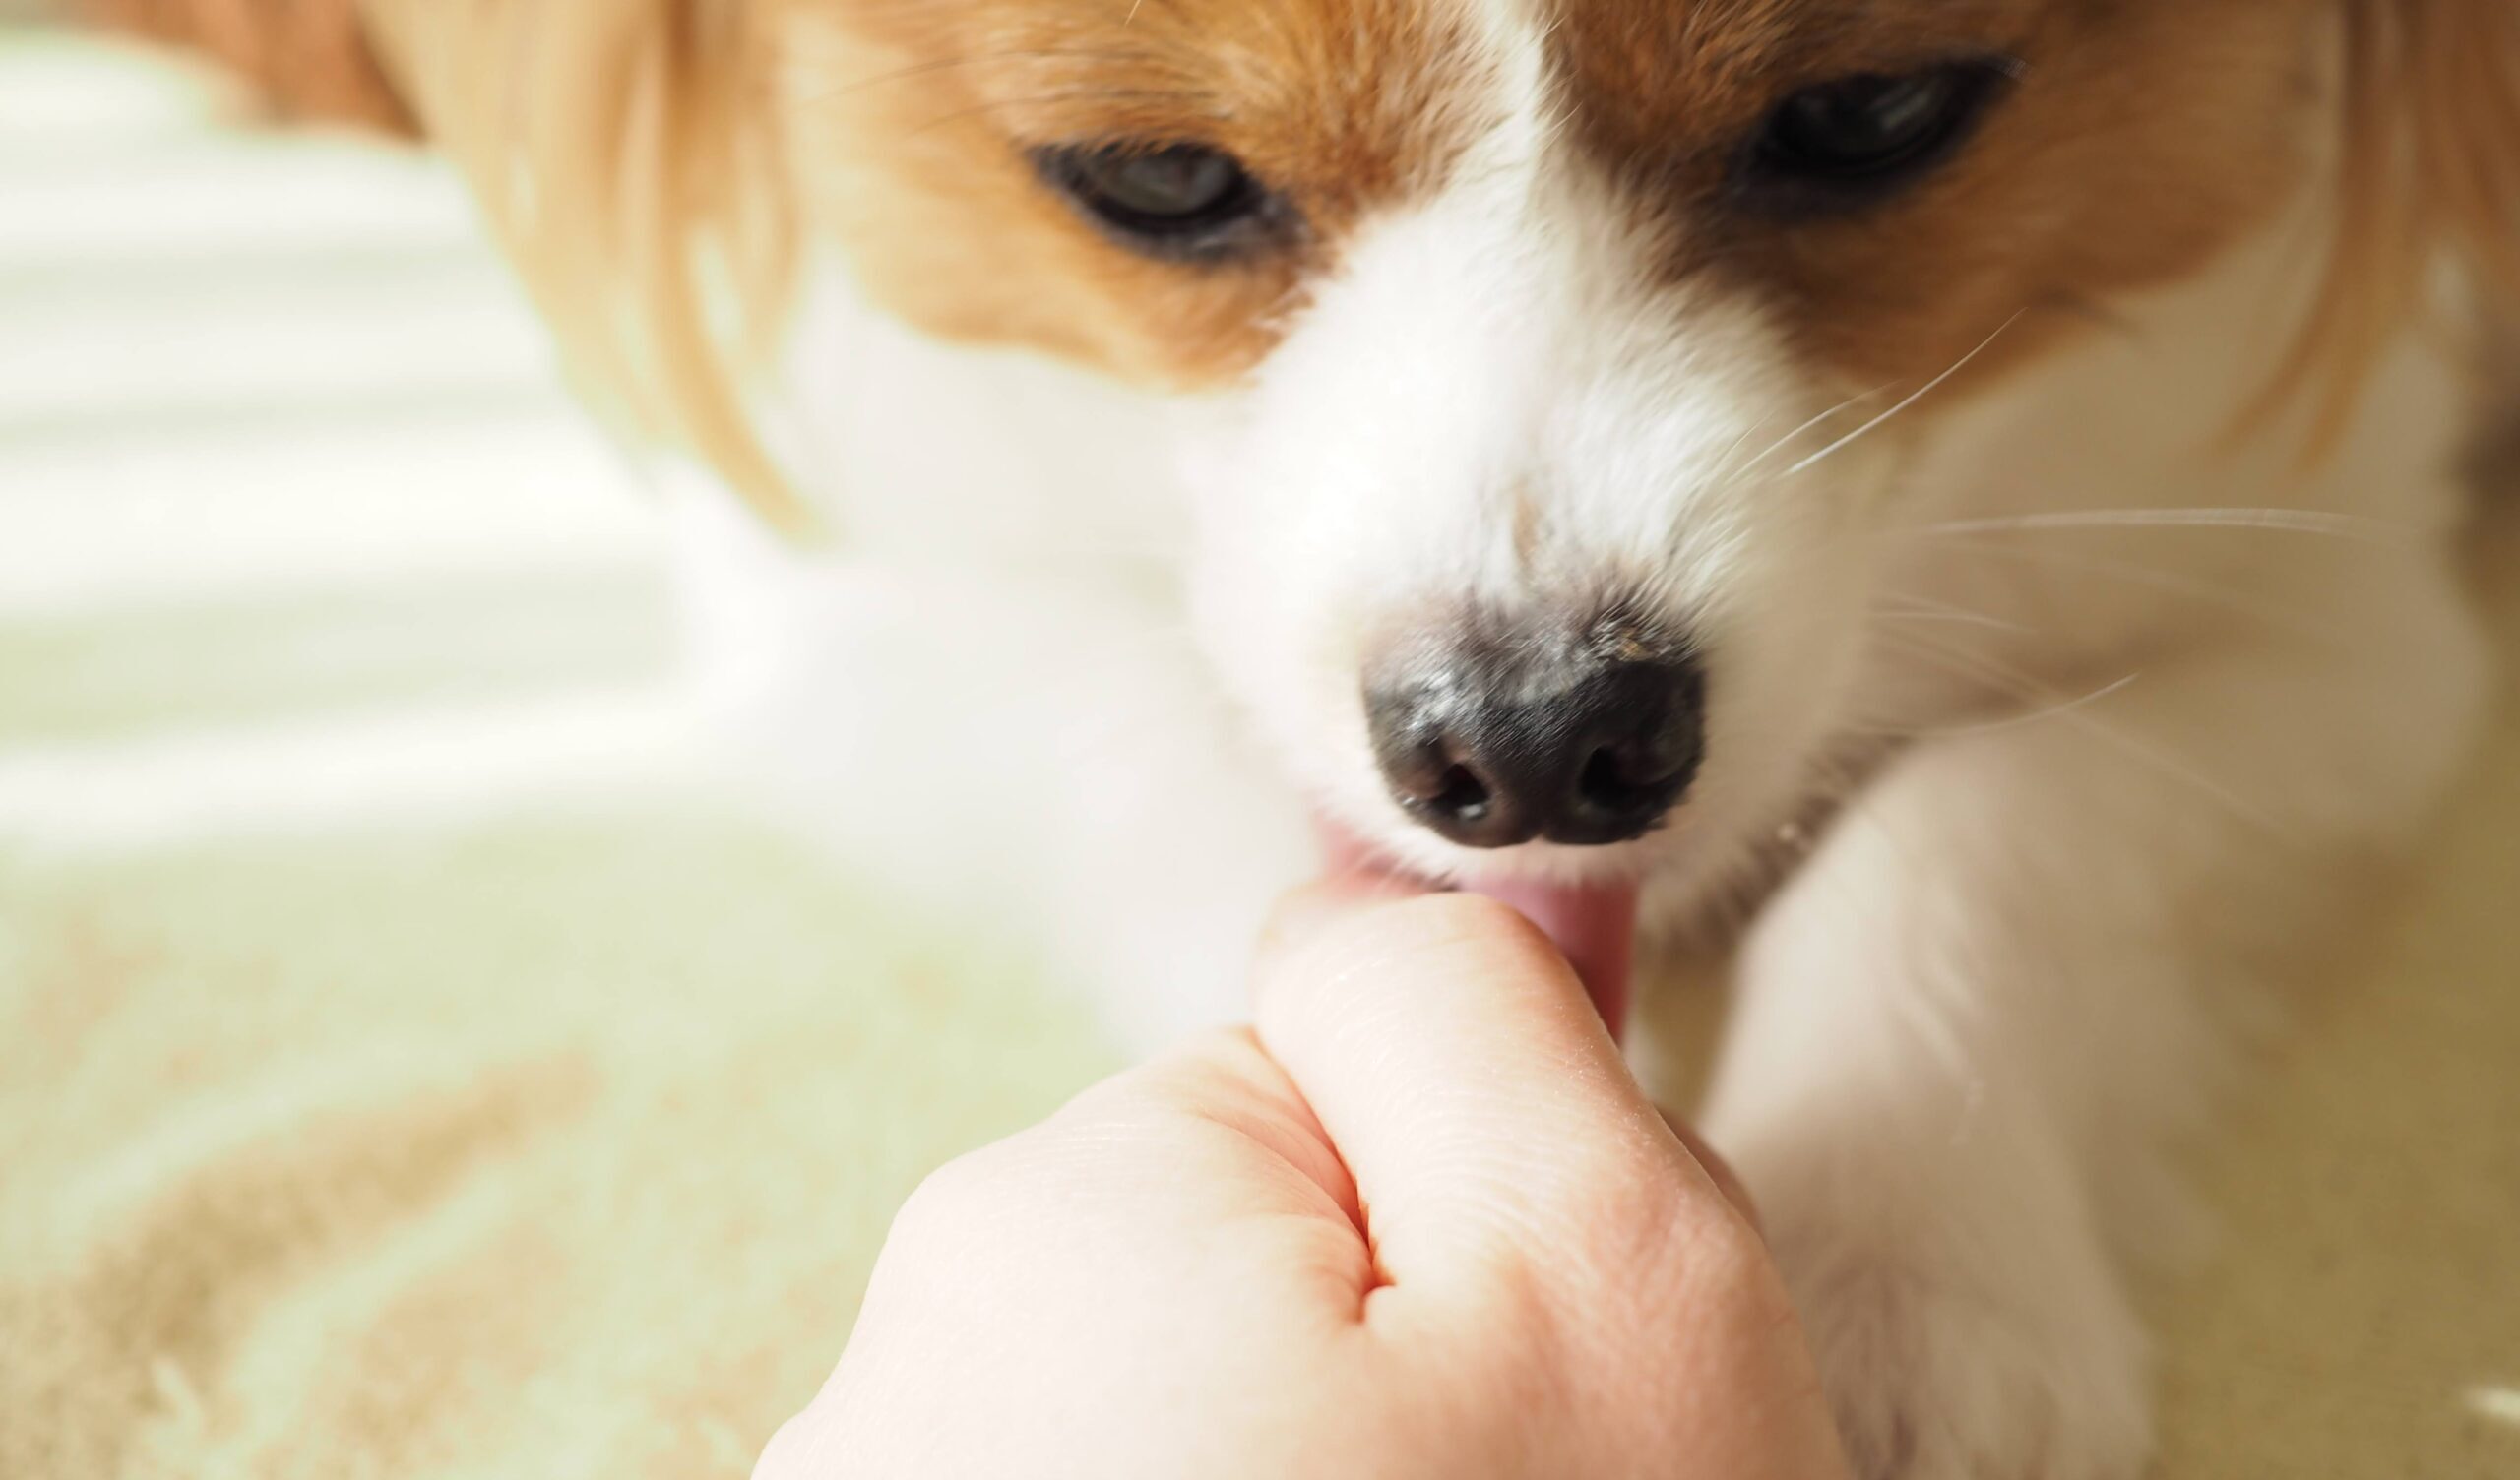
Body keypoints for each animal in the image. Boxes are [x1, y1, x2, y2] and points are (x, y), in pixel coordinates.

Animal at [93, 5, 2520, 1469]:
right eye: (1156, 180)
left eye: (1871, 115)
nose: (1537, 744)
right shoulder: (861, 602)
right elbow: (1173, 782)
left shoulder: (2337, 618)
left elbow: (1995, 818)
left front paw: (1896, 1273)